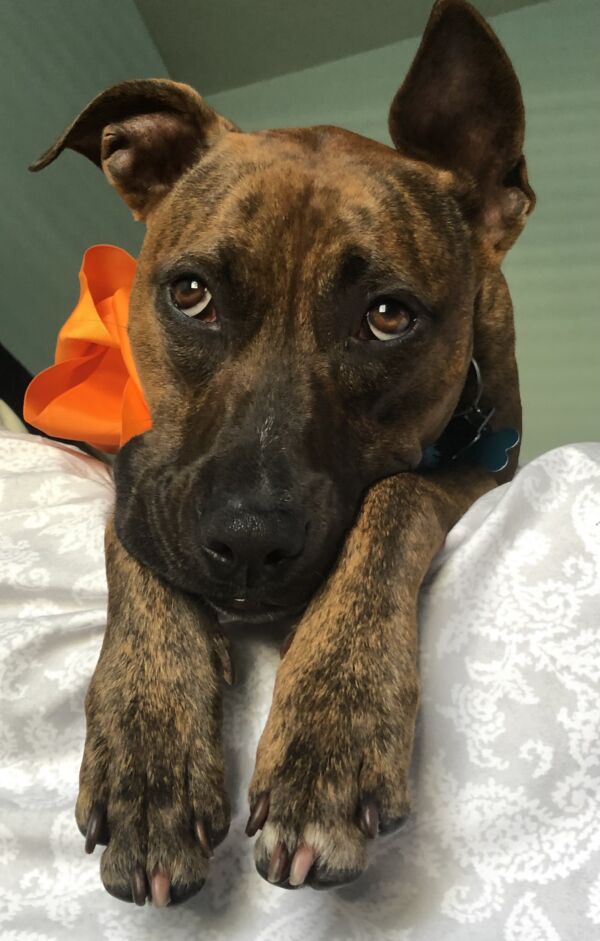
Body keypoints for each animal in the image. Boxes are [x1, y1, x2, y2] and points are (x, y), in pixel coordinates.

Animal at [30, 0, 534, 907]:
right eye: (190, 293)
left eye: (388, 316)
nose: (246, 543)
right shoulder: (140, 465)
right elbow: (129, 541)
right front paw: (149, 754)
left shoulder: (481, 469)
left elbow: (395, 500)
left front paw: (329, 733)